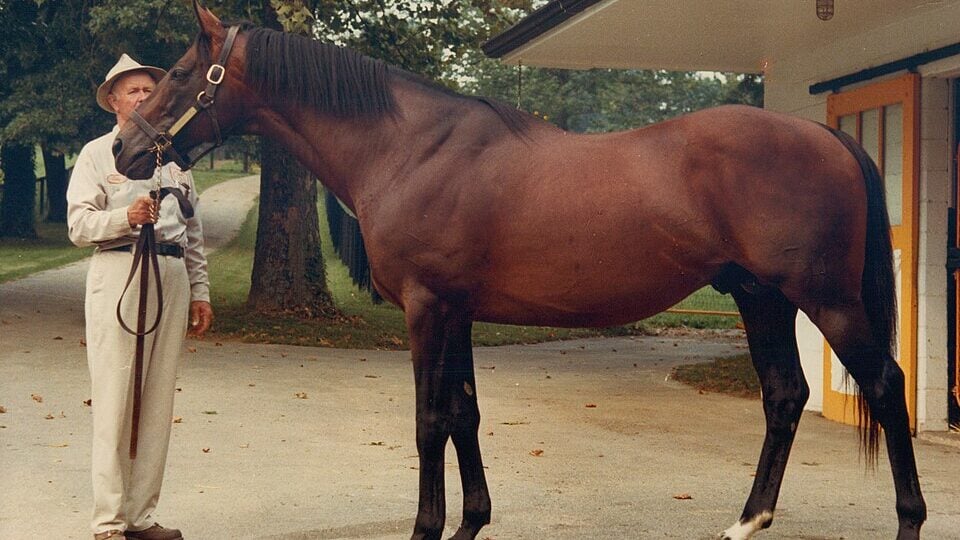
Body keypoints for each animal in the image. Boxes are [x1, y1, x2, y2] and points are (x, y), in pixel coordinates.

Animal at [112, 3, 926, 539]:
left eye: (182, 73)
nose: (124, 150)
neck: (410, 147)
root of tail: (826, 138)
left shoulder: (427, 308)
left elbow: (429, 422)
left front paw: (428, 528)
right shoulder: (458, 310)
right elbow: (465, 414)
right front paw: (471, 523)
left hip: (826, 300)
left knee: (886, 386)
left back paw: (907, 521)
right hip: (761, 297)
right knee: (786, 395)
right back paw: (747, 520)